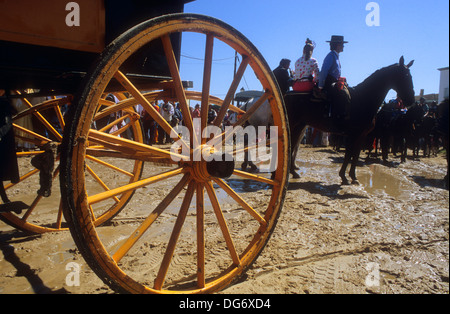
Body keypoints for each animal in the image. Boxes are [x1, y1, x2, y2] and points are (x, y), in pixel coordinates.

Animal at [284, 56, 414, 184]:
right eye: (405, 76)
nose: (410, 100)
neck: (363, 99)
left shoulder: (361, 135)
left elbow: (355, 155)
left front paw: (353, 176)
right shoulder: (353, 135)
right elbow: (349, 154)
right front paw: (344, 176)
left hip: (299, 126)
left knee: (292, 145)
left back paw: (293, 172)